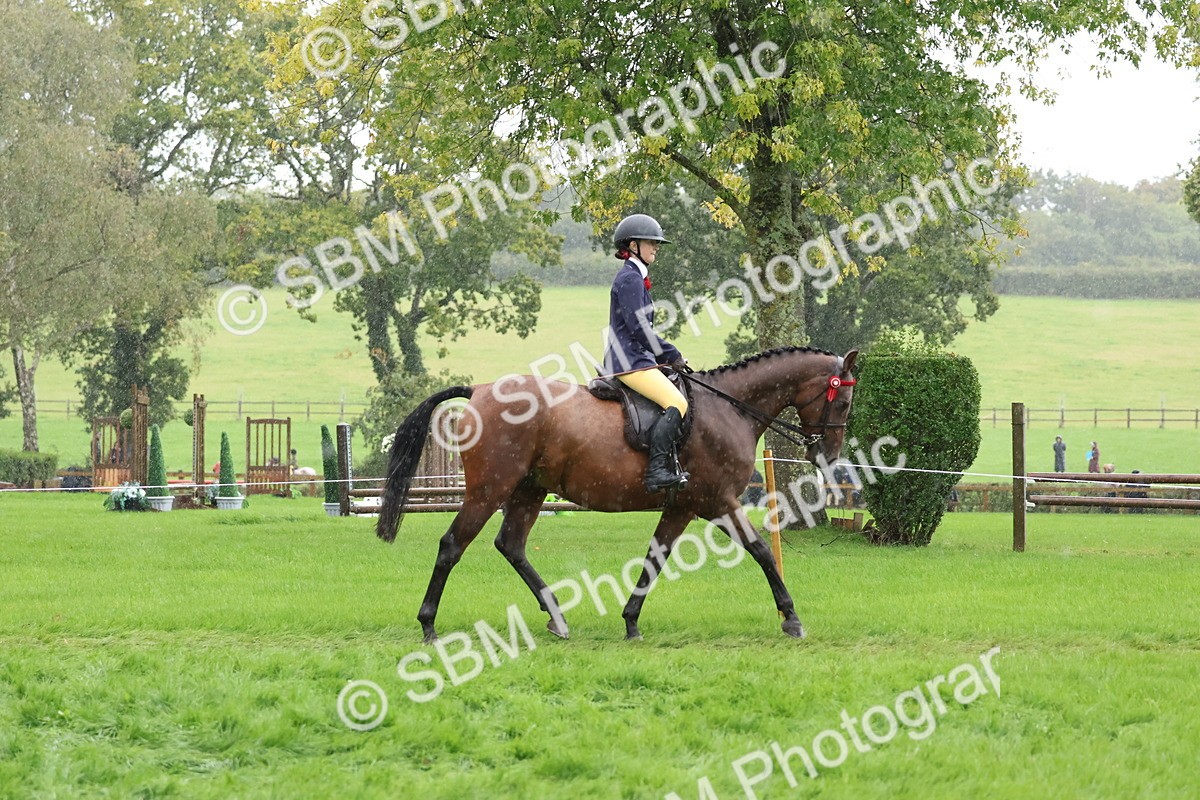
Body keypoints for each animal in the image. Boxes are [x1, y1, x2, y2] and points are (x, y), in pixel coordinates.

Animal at [376, 346, 859, 643]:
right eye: (843, 402)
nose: (828, 456)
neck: (730, 408)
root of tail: (478, 391)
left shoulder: (683, 507)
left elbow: (654, 559)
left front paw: (630, 622)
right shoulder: (719, 502)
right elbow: (761, 551)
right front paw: (791, 619)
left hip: (530, 490)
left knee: (510, 544)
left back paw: (557, 618)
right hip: (489, 489)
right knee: (452, 545)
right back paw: (429, 625)